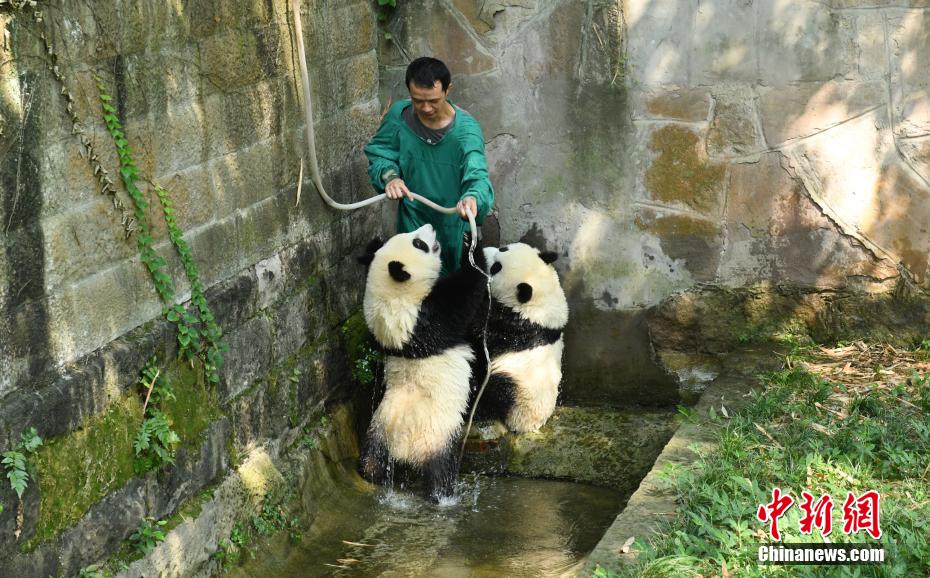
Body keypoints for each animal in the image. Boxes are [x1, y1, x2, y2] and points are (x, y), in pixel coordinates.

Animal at [354, 223, 486, 502]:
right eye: (418, 243)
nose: (430, 227)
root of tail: (403, 453)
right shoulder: (425, 319)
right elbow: (465, 295)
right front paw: (471, 246)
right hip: (436, 438)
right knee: (441, 471)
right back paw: (442, 496)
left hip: (378, 430)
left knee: (371, 462)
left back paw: (372, 476)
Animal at [478, 241, 564, 430]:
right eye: (503, 248)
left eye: (496, 267)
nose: (484, 251)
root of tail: (529, 426)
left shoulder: (512, 326)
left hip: (517, 389)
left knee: (495, 389)